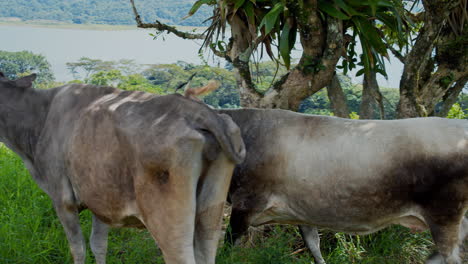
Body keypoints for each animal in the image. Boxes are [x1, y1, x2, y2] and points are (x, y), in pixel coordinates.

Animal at [0, 72, 247, 264]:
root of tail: (200, 112)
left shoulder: (62, 199)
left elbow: (78, 248)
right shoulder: (101, 200)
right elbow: (98, 244)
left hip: (169, 222)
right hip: (211, 213)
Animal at [220, 108, 468, 264]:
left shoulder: (246, 201)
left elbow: (227, 244)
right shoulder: (302, 212)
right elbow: (314, 246)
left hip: (443, 213)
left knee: (451, 254)